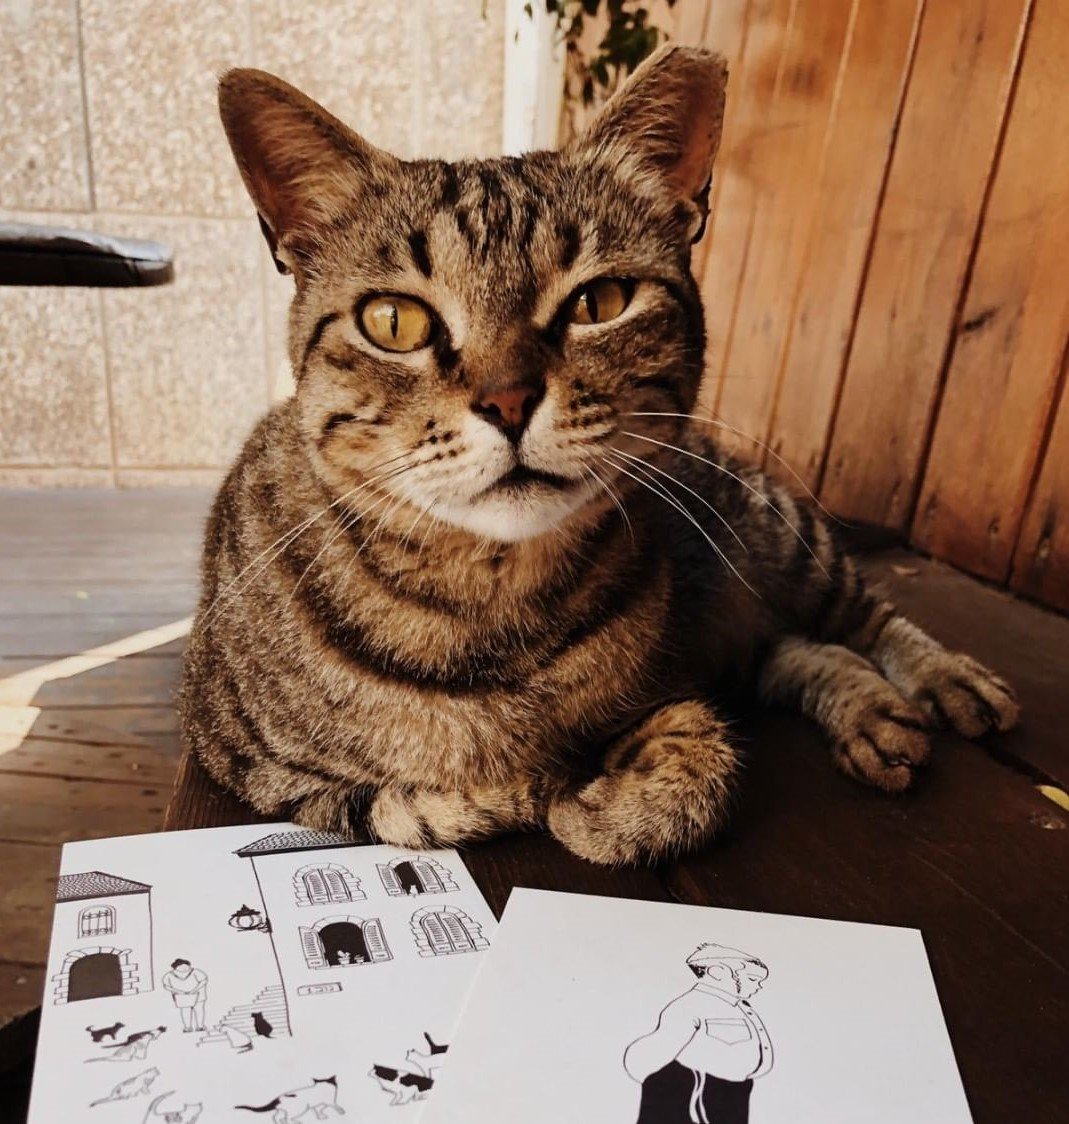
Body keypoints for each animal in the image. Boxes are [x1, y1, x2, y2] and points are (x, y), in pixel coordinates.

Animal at [182, 48, 1020, 863]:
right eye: (394, 321)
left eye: (600, 302)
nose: (508, 400)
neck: (491, 609)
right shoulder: (261, 771)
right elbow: (416, 805)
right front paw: (539, 786)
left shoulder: (673, 678)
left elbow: (691, 764)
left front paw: (600, 804)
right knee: (793, 648)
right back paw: (874, 716)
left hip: (776, 533)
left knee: (857, 618)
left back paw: (942, 682)